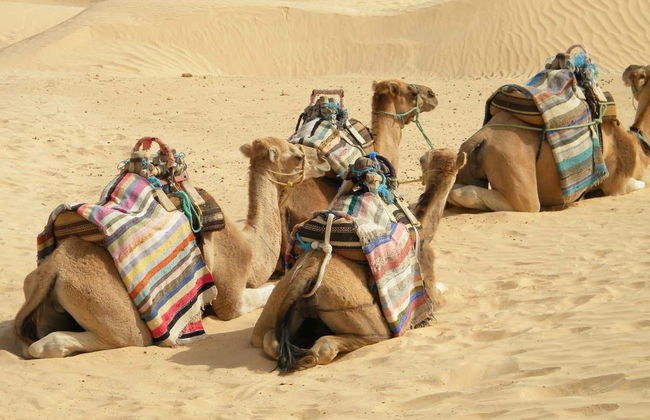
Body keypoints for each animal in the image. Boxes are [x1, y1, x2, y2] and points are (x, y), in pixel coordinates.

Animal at [14, 137, 331, 358]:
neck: (251, 248)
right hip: (117, 316)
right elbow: (262, 295)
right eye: (297, 155)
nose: (324, 158)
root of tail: (52, 268)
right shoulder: (230, 295)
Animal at [251, 148, 466, 372]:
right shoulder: (428, 286)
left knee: (269, 340)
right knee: (339, 344)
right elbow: (441, 296)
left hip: (273, 308)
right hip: (364, 317)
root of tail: (306, 273)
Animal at [449, 65, 650, 212]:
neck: (637, 145)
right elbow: (641, 184)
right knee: (525, 205)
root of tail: (480, 138)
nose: (629, 69)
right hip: (511, 164)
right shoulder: (618, 185)